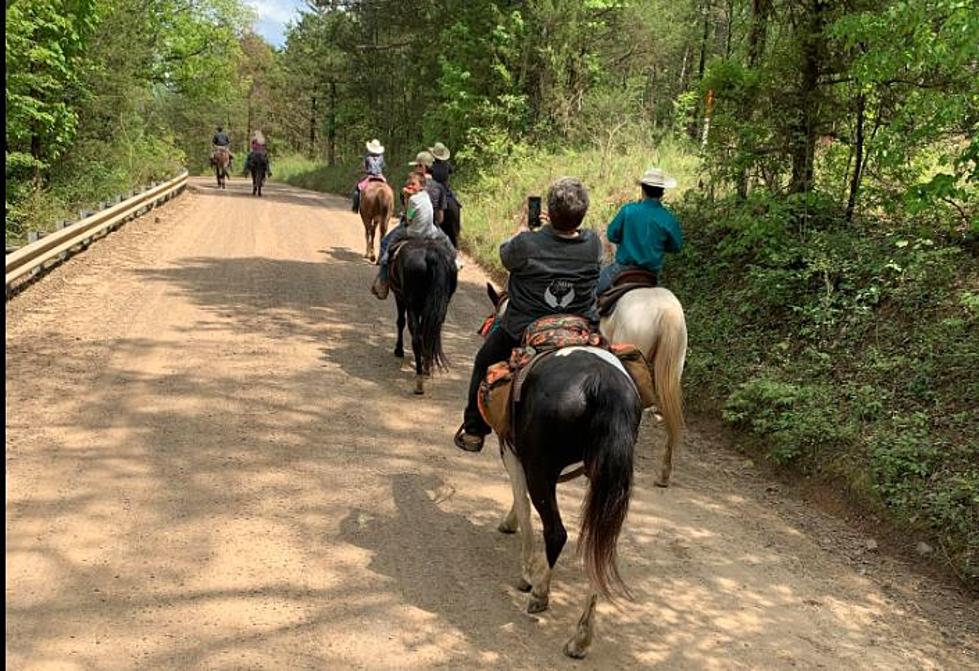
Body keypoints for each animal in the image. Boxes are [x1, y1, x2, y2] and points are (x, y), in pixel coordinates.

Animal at [390, 238, 460, 394]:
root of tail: (432, 255)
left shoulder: (400, 296)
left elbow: (400, 322)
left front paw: (398, 350)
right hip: (440, 306)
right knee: (431, 334)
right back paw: (426, 368)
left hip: (412, 305)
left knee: (416, 337)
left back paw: (419, 380)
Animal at [498, 350, 644, 660]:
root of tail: (603, 384)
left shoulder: (512, 450)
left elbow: (523, 504)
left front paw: (526, 573)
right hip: (605, 482)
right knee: (600, 547)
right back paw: (581, 639)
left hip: (540, 470)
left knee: (556, 532)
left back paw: (540, 592)